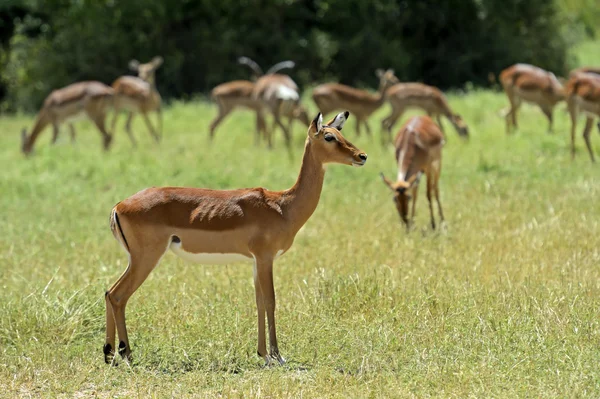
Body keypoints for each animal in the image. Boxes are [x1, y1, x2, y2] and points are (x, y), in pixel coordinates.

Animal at [103, 111, 368, 368]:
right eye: (329, 136)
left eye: (340, 133)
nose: (362, 156)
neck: (283, 206)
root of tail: (119, 206)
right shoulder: (265, 258)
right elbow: (271, 300)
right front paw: (277, 356)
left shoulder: (255, 261)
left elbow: (259, 301)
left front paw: (263, 354)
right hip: (146, 258)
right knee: (117, 295)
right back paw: (125, 354)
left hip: (136, 259)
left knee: (109, 293)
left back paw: (109, 354)